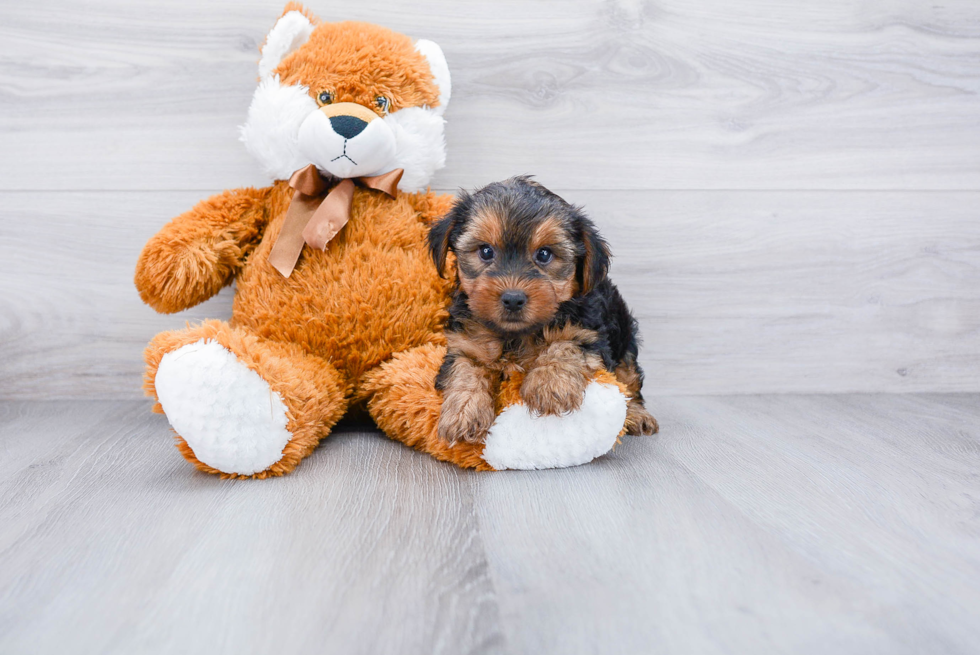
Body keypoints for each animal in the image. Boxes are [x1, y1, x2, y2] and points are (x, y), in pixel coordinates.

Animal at [428, 176, 660, 446]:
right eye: (486, 251)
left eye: (545, 254)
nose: (513, 299)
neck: (515, 335)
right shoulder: (464, 344)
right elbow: (464, 369)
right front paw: (464, 411)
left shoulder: (588, 333)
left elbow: (565, 344)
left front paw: (549, 384)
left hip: (624, 337)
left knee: (629, 380)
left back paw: (638, 415)